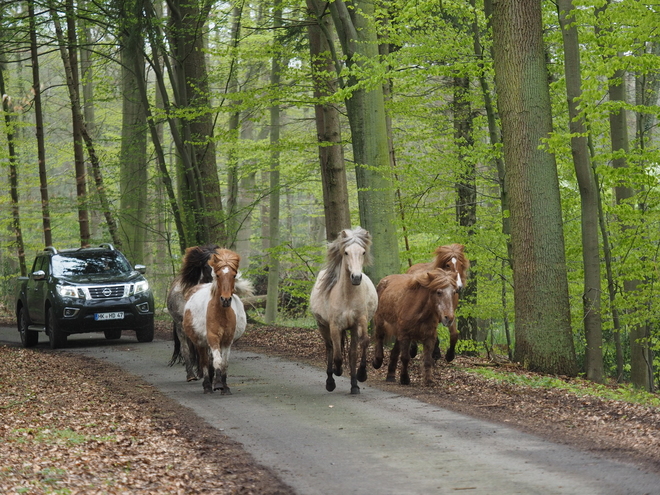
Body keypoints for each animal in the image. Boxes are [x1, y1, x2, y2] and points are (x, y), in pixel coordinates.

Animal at [182, 250, 254, 398]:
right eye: (218, 275)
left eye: (233, 275)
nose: (225, 300)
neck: (221, 314)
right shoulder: (212, 338)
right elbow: (217, 361)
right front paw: (218, 384)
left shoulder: (227, 340)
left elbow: (224, 363)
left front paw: (224, 387)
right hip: (201, 342)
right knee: (205, 361)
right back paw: (207, 386)